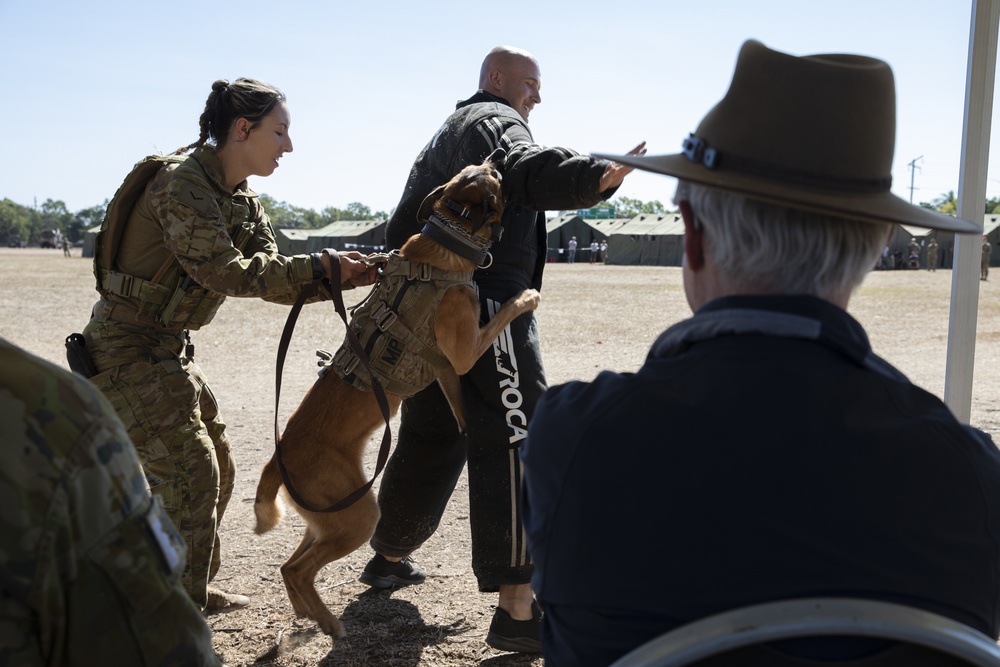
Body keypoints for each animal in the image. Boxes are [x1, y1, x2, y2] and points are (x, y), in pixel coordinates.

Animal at [254, 160, 544, 636]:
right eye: (496, 181)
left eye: (478, 169)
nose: (498, 157)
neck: (446, 239)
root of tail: (276, 461)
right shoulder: (465, 351)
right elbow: (503, 309)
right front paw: (526, 296)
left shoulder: (446, 368)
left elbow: (458, 406)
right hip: (358, 515)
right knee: (298, 569)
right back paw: (330, 624)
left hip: (329, 520)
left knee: (289, 566)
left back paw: (308, 614)